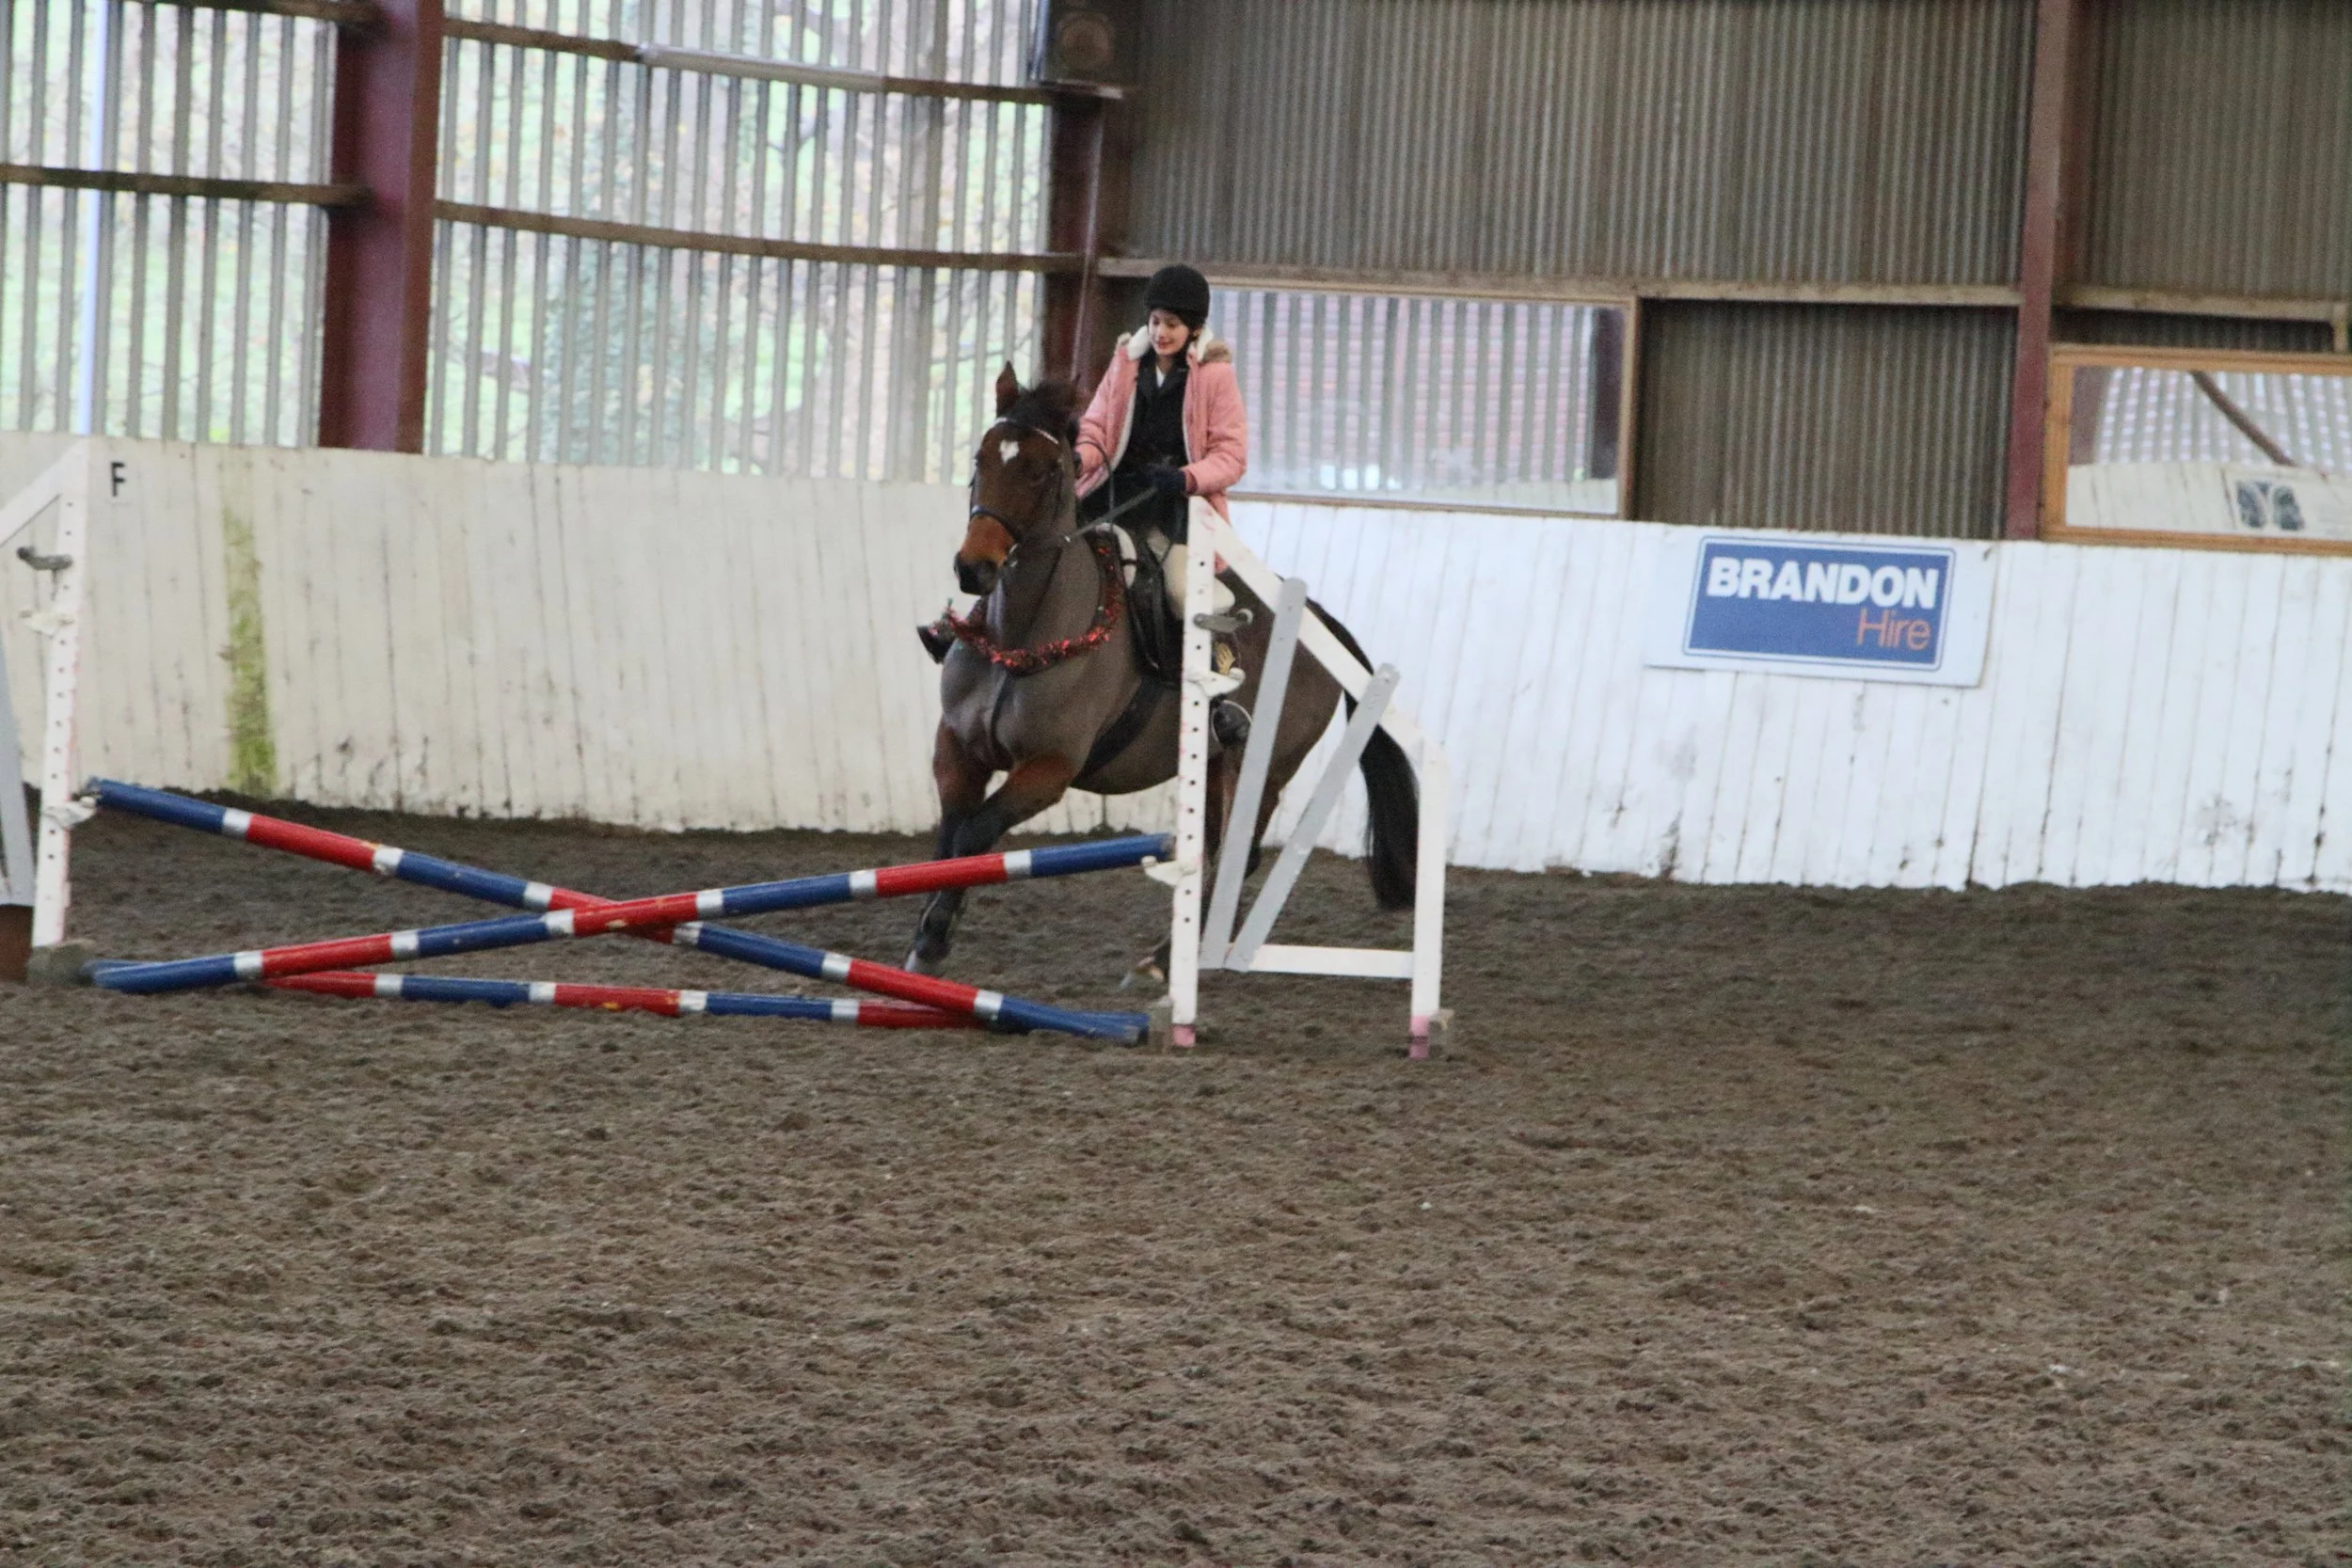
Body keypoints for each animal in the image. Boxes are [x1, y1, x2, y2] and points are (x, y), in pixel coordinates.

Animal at [905, 364, 1418, 985]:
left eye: (1043, 469)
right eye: (982, 457)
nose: (974, 568)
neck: (1022, 639)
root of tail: (1321, 621)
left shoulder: (1048, 769)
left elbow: (977, 833)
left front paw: (934, 936)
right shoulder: (956, 749)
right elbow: (951, 836)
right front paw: (927, 930)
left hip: (1265, 767)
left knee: (1239, 854)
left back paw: (1168, 961)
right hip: (1218, 764)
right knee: (1217, 847)